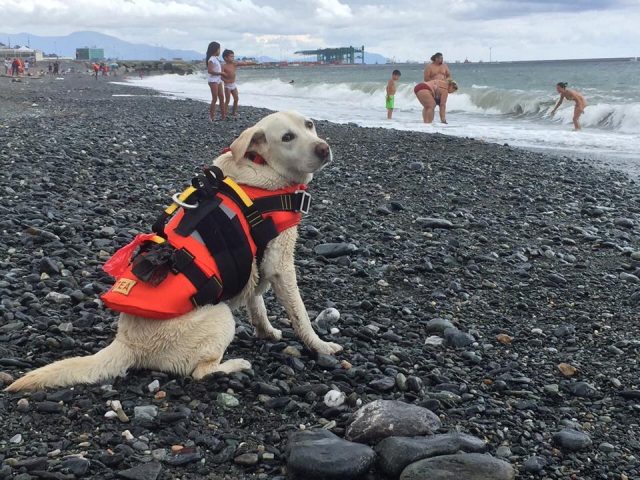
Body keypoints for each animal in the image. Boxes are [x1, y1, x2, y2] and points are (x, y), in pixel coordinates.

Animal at [5, 110, 342, 392]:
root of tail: (126, 344)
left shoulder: (256, 267)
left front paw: (267, 332)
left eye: (309, 125)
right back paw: (234, 365)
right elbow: (300, 315)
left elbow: (256, 305)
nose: (324, 148)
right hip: (219, 316)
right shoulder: (280, 265)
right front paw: (321, 346)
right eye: (286, 137)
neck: (261, 167)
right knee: (200, 372)